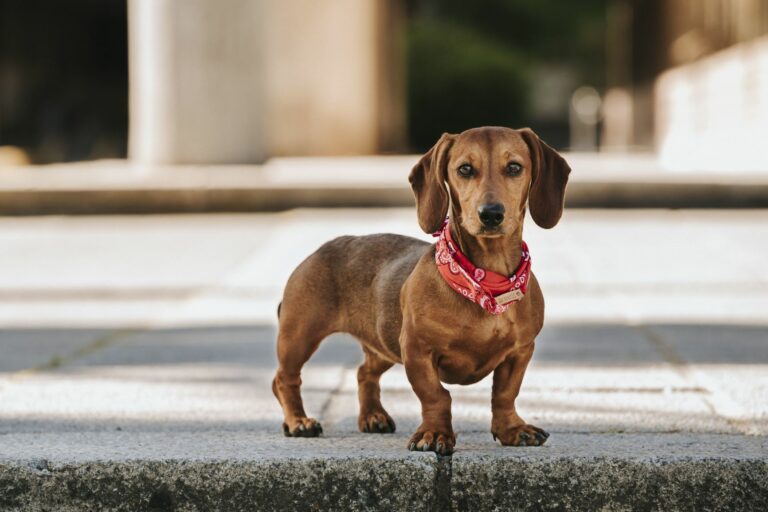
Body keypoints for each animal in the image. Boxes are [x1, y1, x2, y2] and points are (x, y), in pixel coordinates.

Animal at [272, 126, 568, 454]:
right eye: (465, 169)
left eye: (514, 167)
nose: (491, 214)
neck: (487, 282)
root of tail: (317, 251)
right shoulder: (416, 349)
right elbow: (436, 396)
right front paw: (435, 434)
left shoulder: (520, 351)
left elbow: (505, 394)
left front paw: (513, 430)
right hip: (299, 336)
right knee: (284, 379)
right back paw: (299, 422)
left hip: (383, 344)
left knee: (364, 373)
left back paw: (373, 416)